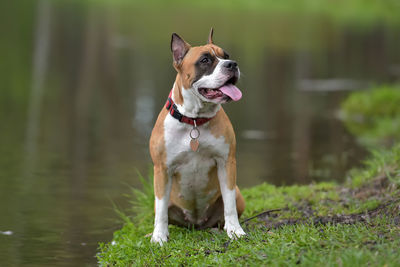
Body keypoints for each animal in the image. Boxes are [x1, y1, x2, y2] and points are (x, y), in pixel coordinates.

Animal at [149, 28, 245, 245]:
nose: (232, 64)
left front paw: (235, 231)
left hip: (238, 195)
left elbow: (229, 204)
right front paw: (159, 236)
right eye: (205, 60)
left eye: (226, 56)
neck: (194, 120)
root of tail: (197, 224)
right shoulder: (162, 169)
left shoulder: (227, 163)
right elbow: (161, 210)